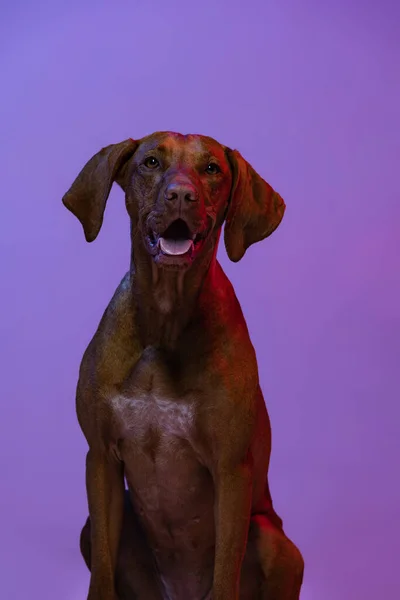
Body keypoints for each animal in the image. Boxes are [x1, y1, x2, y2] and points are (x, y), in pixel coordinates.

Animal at [62, 132, 304, 600]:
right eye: (151, 162)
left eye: (212, 169)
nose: (180, 195)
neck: (165, 317)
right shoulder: (99, 458)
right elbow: (101, 572)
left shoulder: (231, 470)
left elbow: (226, 571)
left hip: (277, 540)